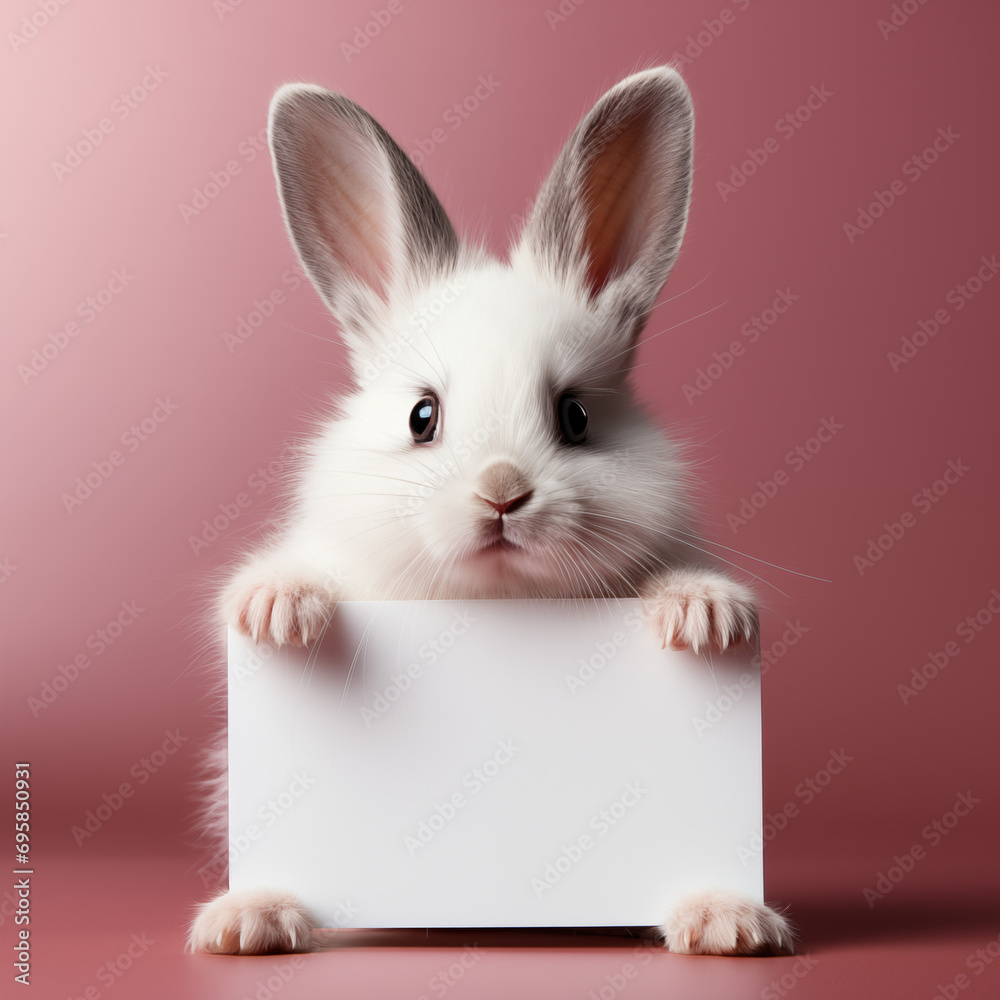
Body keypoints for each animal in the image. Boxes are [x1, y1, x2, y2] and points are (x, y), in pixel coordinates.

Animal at [188, 65, 794, 957]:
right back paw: (250, 921)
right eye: (422, 417)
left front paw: (704, 615)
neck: (498, 603)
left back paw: (725, 920)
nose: (502, 491)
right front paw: (278, 610)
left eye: (576, 416)